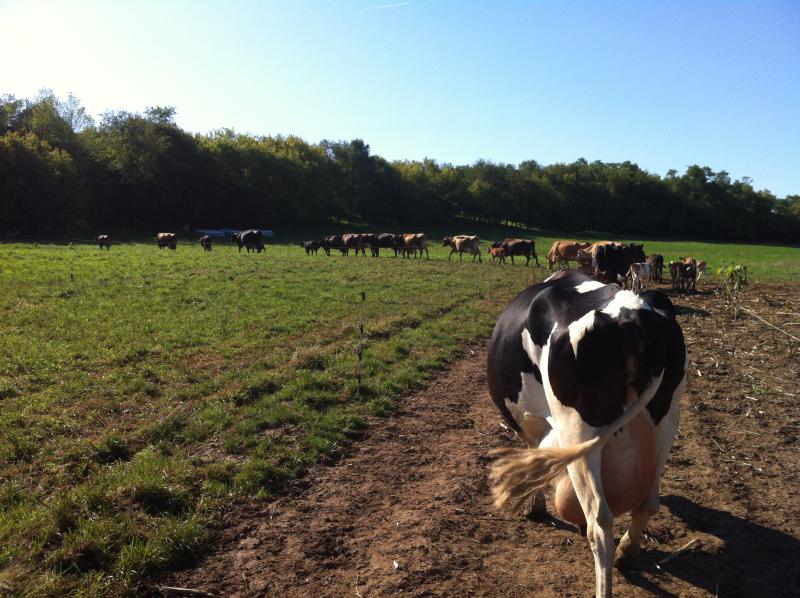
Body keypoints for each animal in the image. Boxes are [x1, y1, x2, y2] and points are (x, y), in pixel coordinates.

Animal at [488, 272, 688, 598]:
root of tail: (632, 313)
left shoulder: (529, 426)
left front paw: (535, 509)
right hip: (667, 418)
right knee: (648, 502)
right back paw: (626, 553)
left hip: (578, 431)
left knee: (600, 521)